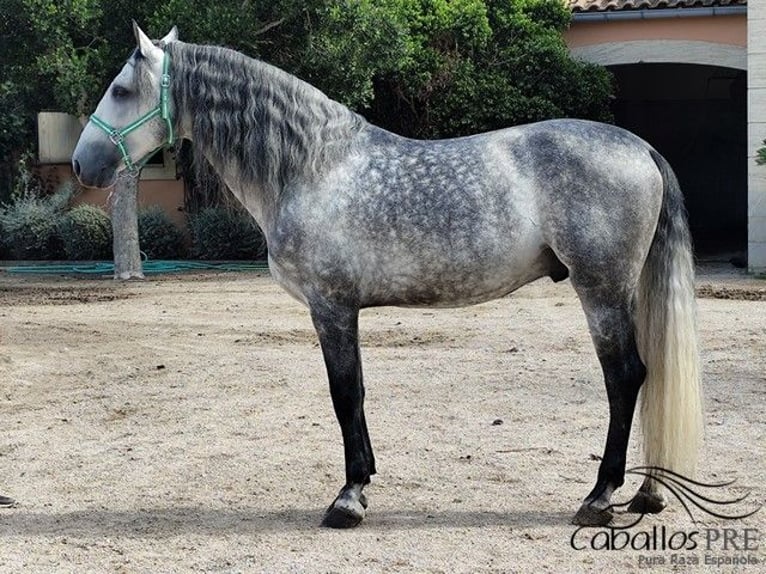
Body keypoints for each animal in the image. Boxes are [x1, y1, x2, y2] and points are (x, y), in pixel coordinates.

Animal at [72, 23, 704, 529]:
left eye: (122, 91)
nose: (82, 164)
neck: (313, 166)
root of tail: (641, 148)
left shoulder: (331, 306)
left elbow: (344, 393)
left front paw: (348, 498)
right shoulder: (342, 309)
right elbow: (357, 393)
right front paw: (365, 481)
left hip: (600, 290)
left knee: (625, 378)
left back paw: (599, 498)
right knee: (649, 375)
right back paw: (647, 494)